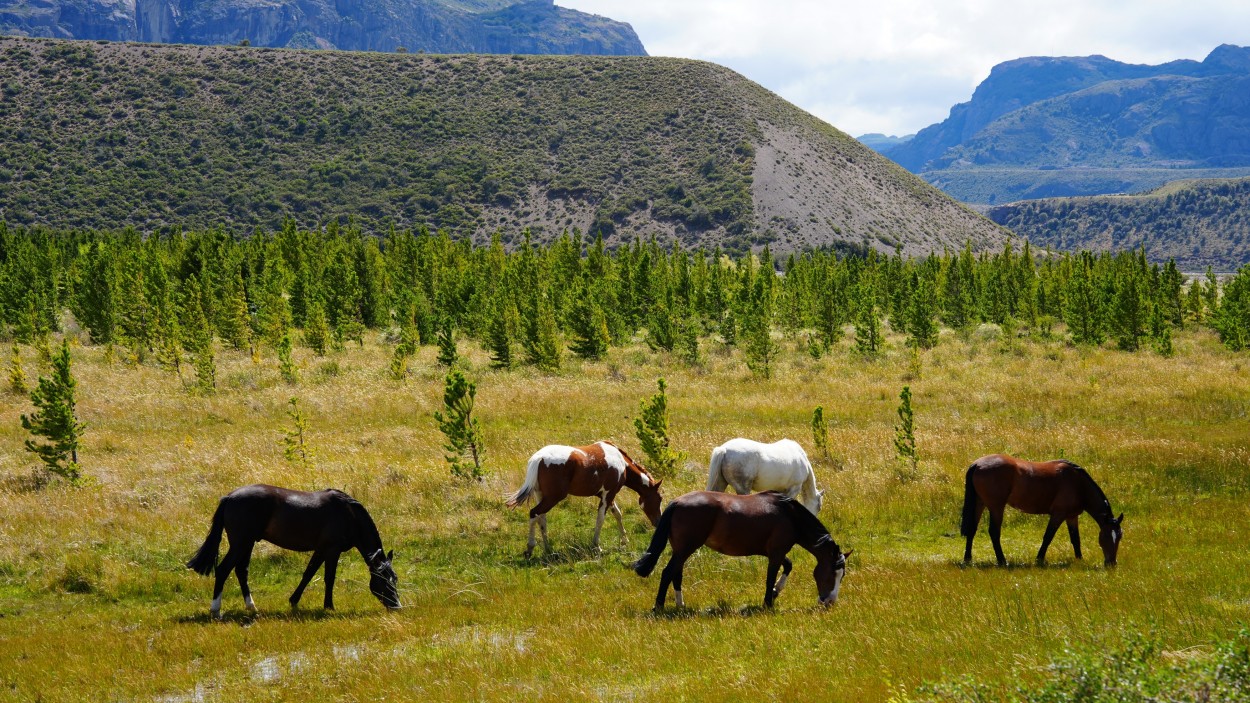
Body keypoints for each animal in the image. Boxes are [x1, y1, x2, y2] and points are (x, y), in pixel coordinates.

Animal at [186, 485, 400, 615]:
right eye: (384, 580)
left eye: (394, 579)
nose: (397, 606)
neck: (349, 514)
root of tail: (229, 497)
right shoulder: (332, 550)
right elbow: (329, 578)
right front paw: (329, 607)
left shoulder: (320, 550)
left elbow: (308, 574)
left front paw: (294, 600)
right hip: (241, 543)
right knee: (223, 570)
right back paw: (216, 609)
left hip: (247, 544)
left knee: (241, 571)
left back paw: (251, 607)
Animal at [505, 437, 670, 557]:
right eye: (659, 499)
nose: (658, 521)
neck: (621, 462)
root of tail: (538, 459)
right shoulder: (609, 494)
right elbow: (601, 519)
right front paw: (597, 546)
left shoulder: (607, 495)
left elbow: (617, 514)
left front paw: (624, 541)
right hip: (553, 498)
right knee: (534, 514)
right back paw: (530, 548)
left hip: (542, 497)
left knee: (541, 519)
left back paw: (547, 548)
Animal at [635, 487, 850, 607]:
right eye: (833, 573)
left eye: (842, 575)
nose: (830, 601)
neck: (790, 515)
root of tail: (677, 502)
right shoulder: (777, 553)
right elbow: (770, 577)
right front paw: (768, 603)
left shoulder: (775, 552)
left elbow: (788, 566)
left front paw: (776, 591)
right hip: (686, 549)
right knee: (667, 573)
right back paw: (659, 606)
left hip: (680, 550)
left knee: (676, 574)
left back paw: (680, 605)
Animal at [960, 455, 1130, 562]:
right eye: (1106, 535)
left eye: (1120, 536)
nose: (1111, 563)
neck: (1078, 484)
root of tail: (977, 464)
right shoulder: (1058, 514)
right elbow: (1048, 536)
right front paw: (1039, 559)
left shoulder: (1072, 516)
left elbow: (1076, 539)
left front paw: (1079, 559)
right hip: (996, 507)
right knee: (994, 532)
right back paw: (1002, 561)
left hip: (980, 503)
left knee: (972, 530)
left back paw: (968, 559)